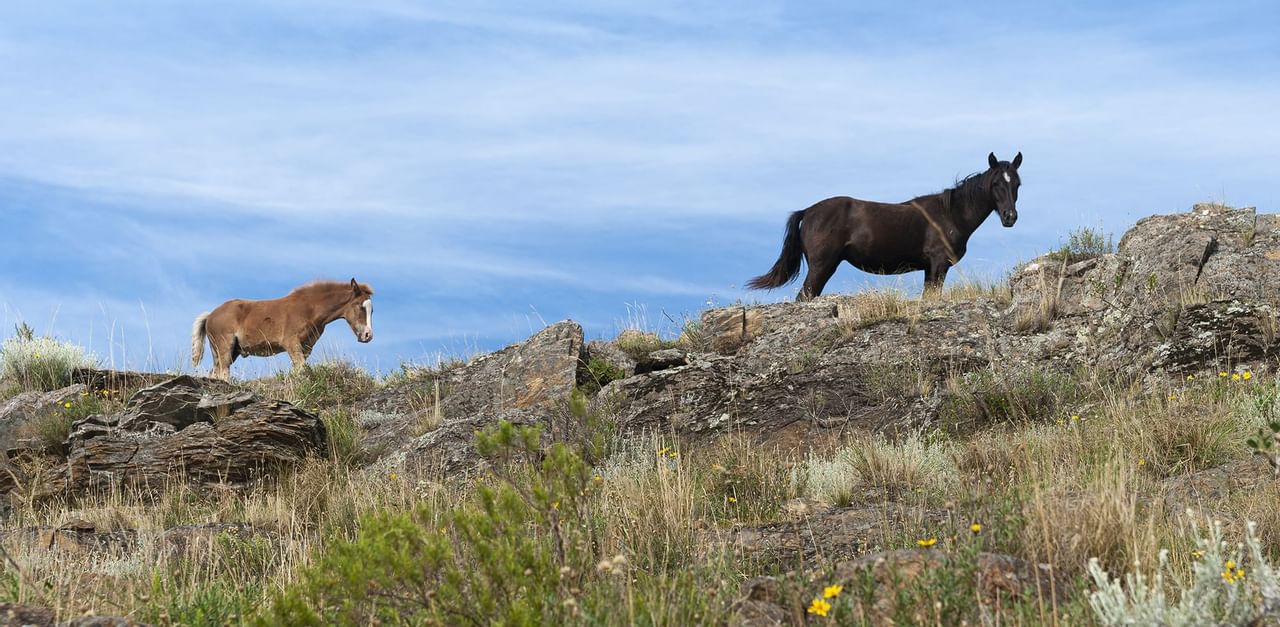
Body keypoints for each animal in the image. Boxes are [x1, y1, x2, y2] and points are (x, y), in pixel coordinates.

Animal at [189, 280, 373, 378]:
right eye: (360, 307)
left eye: (372, 310)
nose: (367, 335)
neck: (309, 309)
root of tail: (210, 315)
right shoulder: (291, 343)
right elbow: (301, 368)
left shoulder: (306, 348)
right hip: (225, 348)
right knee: (223, 372)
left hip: (227, 351)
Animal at [747, 151, 1024, 299]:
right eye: (996, 183)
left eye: (1017, 183)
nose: (1010, 217)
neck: (951, 214)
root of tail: (807, 211)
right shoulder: (938, 265)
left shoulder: (930, 269)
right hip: (821, 266)